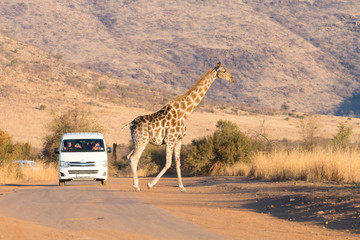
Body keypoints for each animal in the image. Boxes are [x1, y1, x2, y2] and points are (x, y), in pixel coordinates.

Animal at [126, 62, 233, 191]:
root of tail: (131, 124)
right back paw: (137, 186)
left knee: (129, 157)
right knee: (134, 158)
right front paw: (150, 184)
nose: (232, 79)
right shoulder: (170, 139)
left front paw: (182, 187)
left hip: (137, 141)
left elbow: (178, 163)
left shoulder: (179, 140)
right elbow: (168, 163)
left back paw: (136, 185)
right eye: (223, 71)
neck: (184, 113)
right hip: (142, 141)